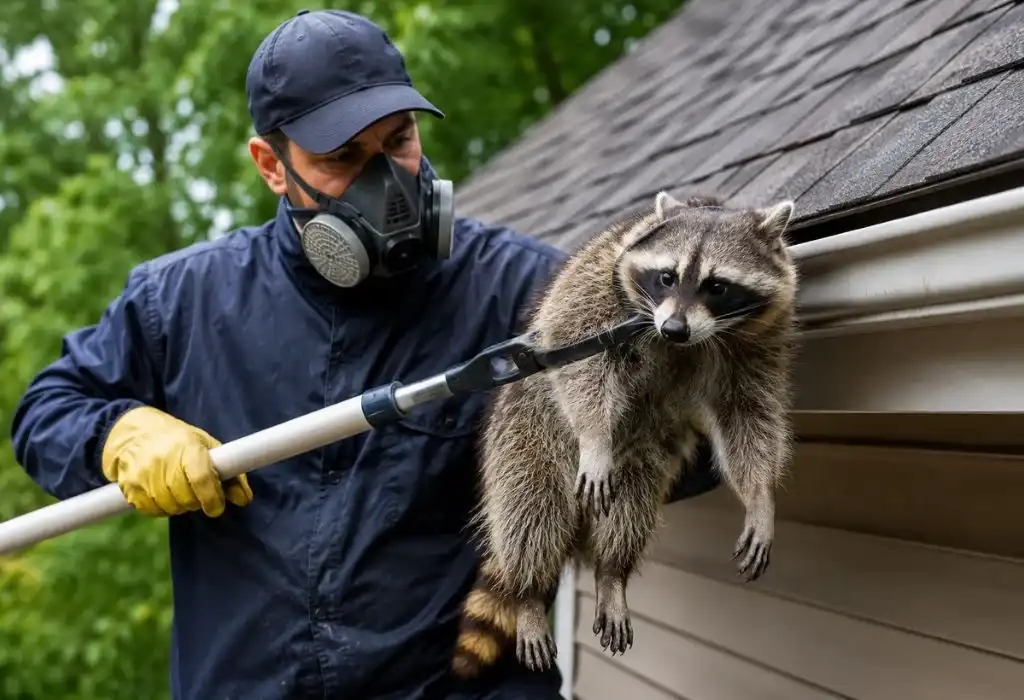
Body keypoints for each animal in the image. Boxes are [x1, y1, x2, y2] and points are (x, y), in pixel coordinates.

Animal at [450, 190, 799, 679]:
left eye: (717, 286)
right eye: (667, 277)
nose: (674, 329)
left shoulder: (760, 339)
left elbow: (749, 412)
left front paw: (760, 495)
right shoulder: (596, 282)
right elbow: (579, 360)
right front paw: (595, 436)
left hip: (644, 449)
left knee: (630, 501)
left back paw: (612, 571)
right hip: (522, 431)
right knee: (530, 505)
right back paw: (528, 592)